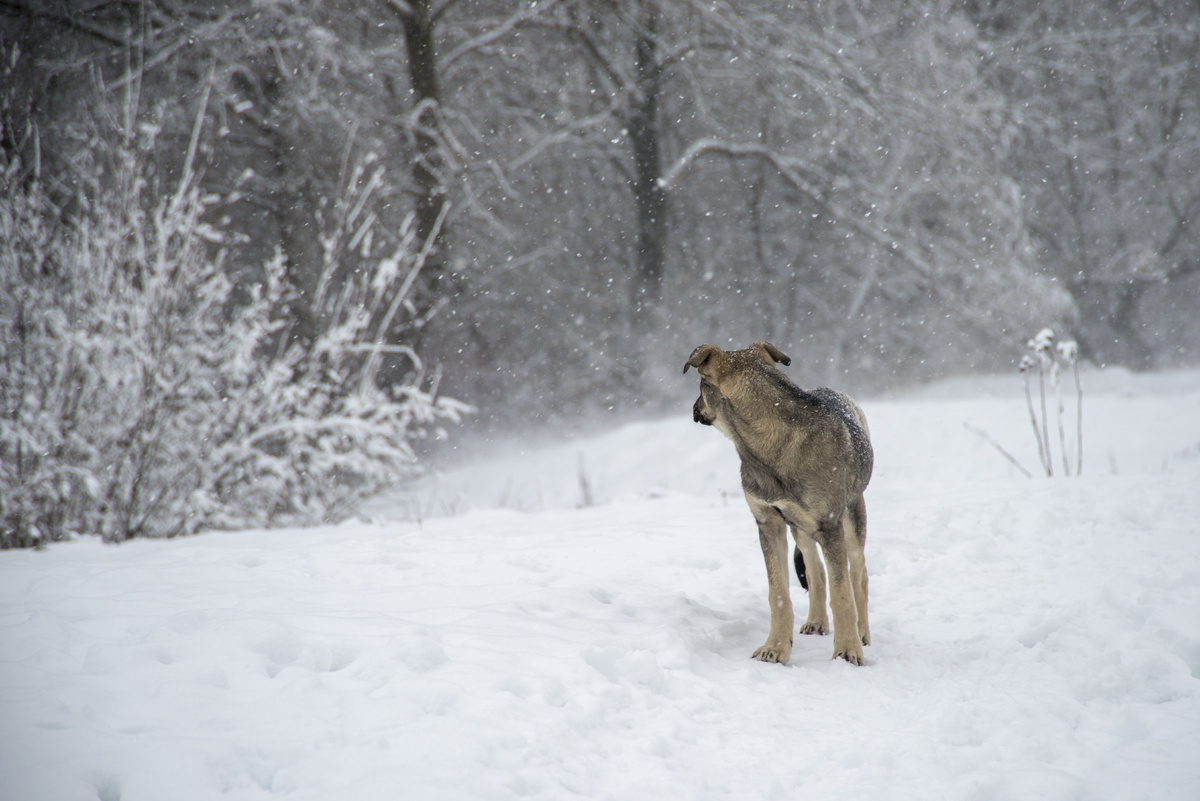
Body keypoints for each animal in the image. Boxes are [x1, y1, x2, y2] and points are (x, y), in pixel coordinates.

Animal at [686, 340, 873, 661]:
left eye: (700, 387)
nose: (693, 408)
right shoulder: (769, 522)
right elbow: (779, 594)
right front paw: (774, 649)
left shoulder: (830, 525)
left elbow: (842, 593)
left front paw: (847, 651)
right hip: (799, 527)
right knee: (815, 571)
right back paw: (816, 622)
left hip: (852, 518)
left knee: (857, 575)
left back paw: (862, 634)